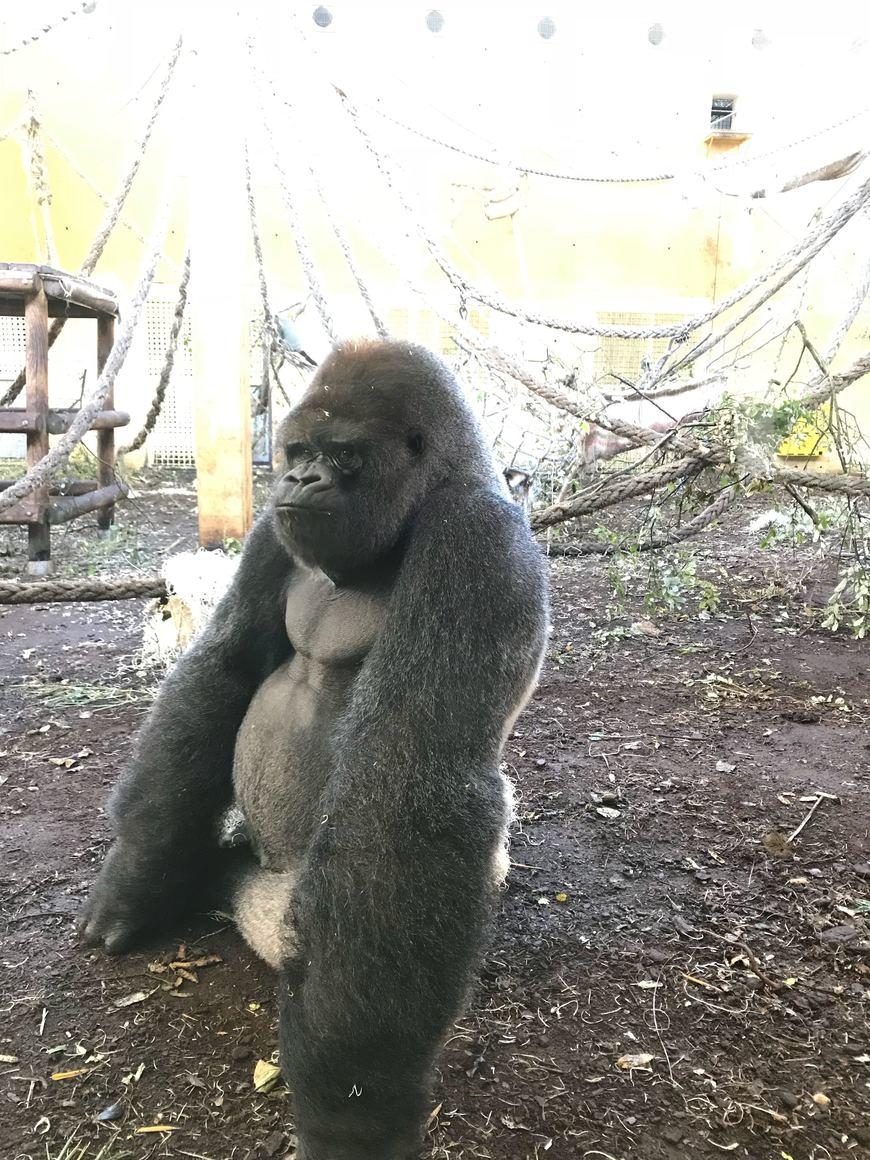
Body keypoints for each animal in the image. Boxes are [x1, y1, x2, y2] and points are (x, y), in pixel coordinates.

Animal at [78, 338, 547, 1155]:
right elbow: (227, 664)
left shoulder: (477, 545)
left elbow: (410, 775)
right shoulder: (273, 528)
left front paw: (354, 1105)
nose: (298, 477)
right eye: (298, 453)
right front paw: (134, 877)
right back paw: (192, 875)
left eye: (344, 455)